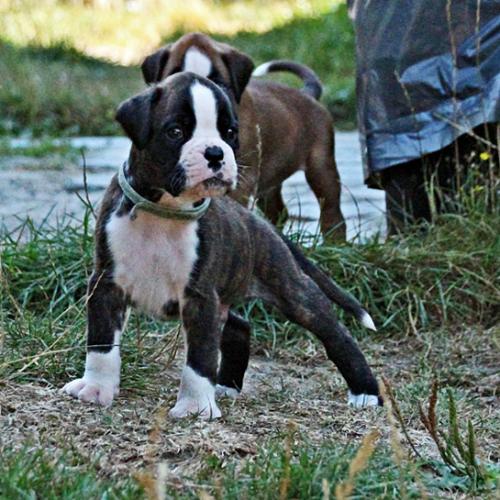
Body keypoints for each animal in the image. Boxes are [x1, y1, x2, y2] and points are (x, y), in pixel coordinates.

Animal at [62, 73, 380, 418]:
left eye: (229, 133)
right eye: (175, 131)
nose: (216, 153)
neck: (164, 210)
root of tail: (259, 223)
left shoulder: (200, 297)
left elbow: (200, 359)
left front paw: (195, 407)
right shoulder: (106, 285)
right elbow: (101, 343)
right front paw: (96, 388)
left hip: (292, 289)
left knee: (336, 334)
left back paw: (367, 393)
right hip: (227, 299)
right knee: (240, 326)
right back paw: (227, 385)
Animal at [139, 33, 346, 240]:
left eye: (219, 83)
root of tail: (308, 95)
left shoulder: (240, 179)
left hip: (321, 168)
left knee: (332, 212)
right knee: (278, 211)